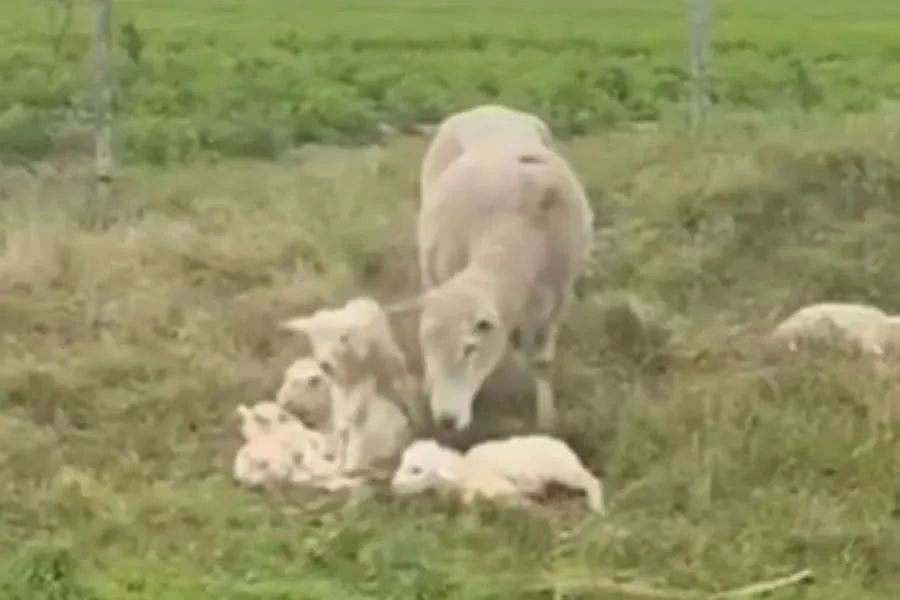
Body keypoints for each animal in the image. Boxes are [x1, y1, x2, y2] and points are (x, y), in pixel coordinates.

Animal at [390, 436, 605, 513]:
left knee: (592, 480)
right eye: (402, 461)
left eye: (416, 470)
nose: (393, 486)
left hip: (564, 471)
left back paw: (596, 506)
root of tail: (564, 446)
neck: (466, 469)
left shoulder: (504, 490)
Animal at [397, 145, 595, 433]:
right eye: (426, 344)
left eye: (470, 348)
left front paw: (546, 421)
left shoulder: (558, 302)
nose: (446, 420)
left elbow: (542, 363)